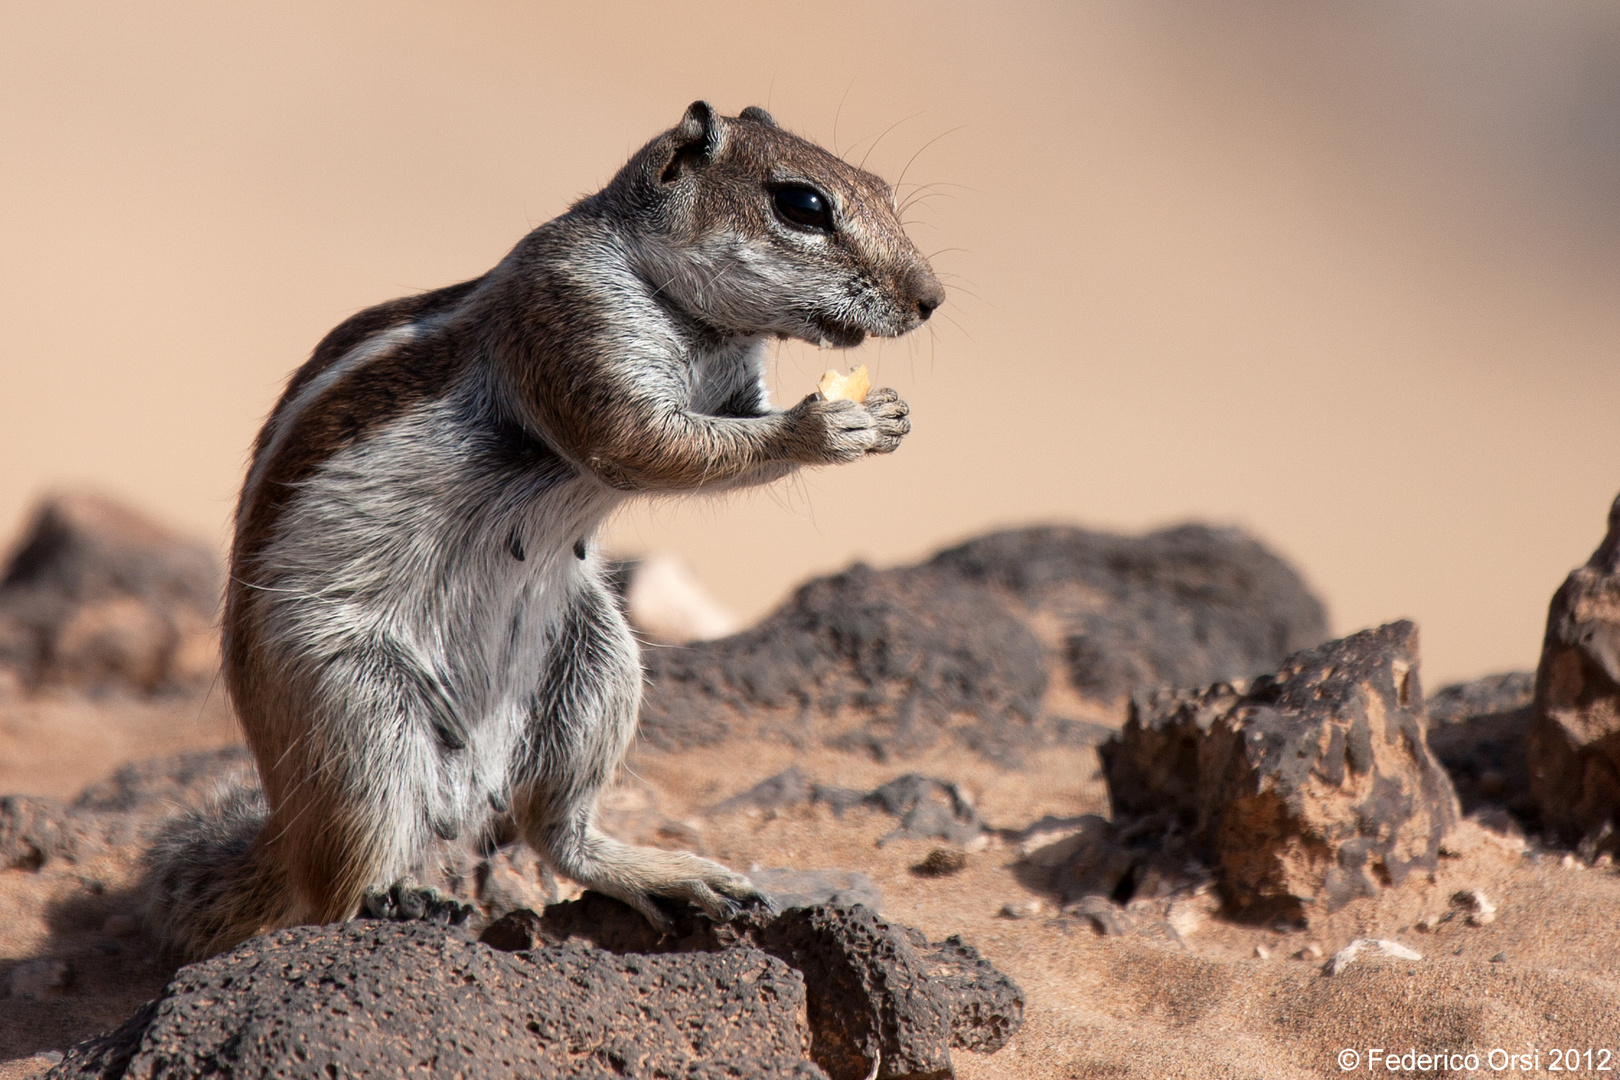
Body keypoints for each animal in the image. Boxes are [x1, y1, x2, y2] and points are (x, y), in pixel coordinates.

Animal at [149, 103, 946, 965]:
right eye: (802, 206)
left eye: (881, 189)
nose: (930, 299)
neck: (695, 318)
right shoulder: (573, 326)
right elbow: (645, 447)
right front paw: (826, 426)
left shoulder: (732, 388)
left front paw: (890, 418)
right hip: (354, 711)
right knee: (332, 891)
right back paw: (394, 897)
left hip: (598, 664)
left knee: (551, 830)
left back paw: (662, 873)